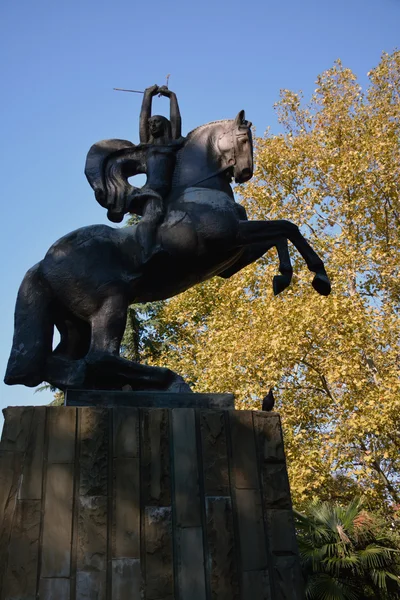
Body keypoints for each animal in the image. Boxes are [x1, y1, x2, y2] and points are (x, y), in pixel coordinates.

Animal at [4, 111, 332, 394]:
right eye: (243, 139)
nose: (245, 172)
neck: (200, 191)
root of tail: (43, 264)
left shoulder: (234, 255)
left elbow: (281, 234)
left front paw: (286, 277)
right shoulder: (232, 236)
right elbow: (287, 227)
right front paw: (318, 278)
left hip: (74, 322)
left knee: (61, 361)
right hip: (110, 303)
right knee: (99, 356)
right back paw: (169, 381)